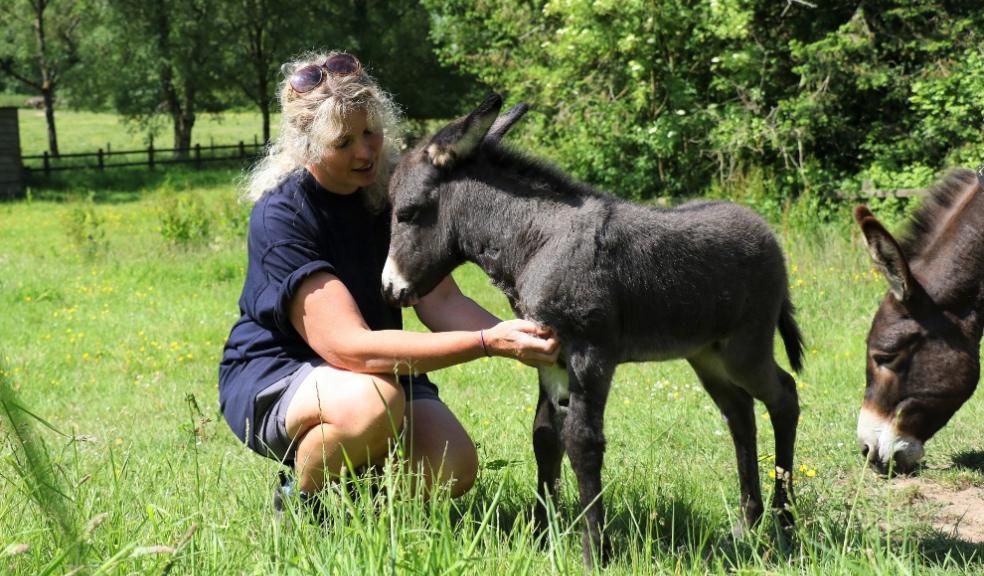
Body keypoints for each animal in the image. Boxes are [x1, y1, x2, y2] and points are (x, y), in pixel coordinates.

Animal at [380, 95, 804, 568]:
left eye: (406, 214)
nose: (390, 290)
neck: (538, 242)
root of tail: (765, 231)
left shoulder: (590, 354)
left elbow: (582, 444)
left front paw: (593, 552)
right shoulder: (547, 354)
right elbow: (545, 436)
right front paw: (542, 539)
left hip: (744, 348)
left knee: (783, 397)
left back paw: (785, 524)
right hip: (706, 354)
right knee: (740, 414)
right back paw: (748, 523)